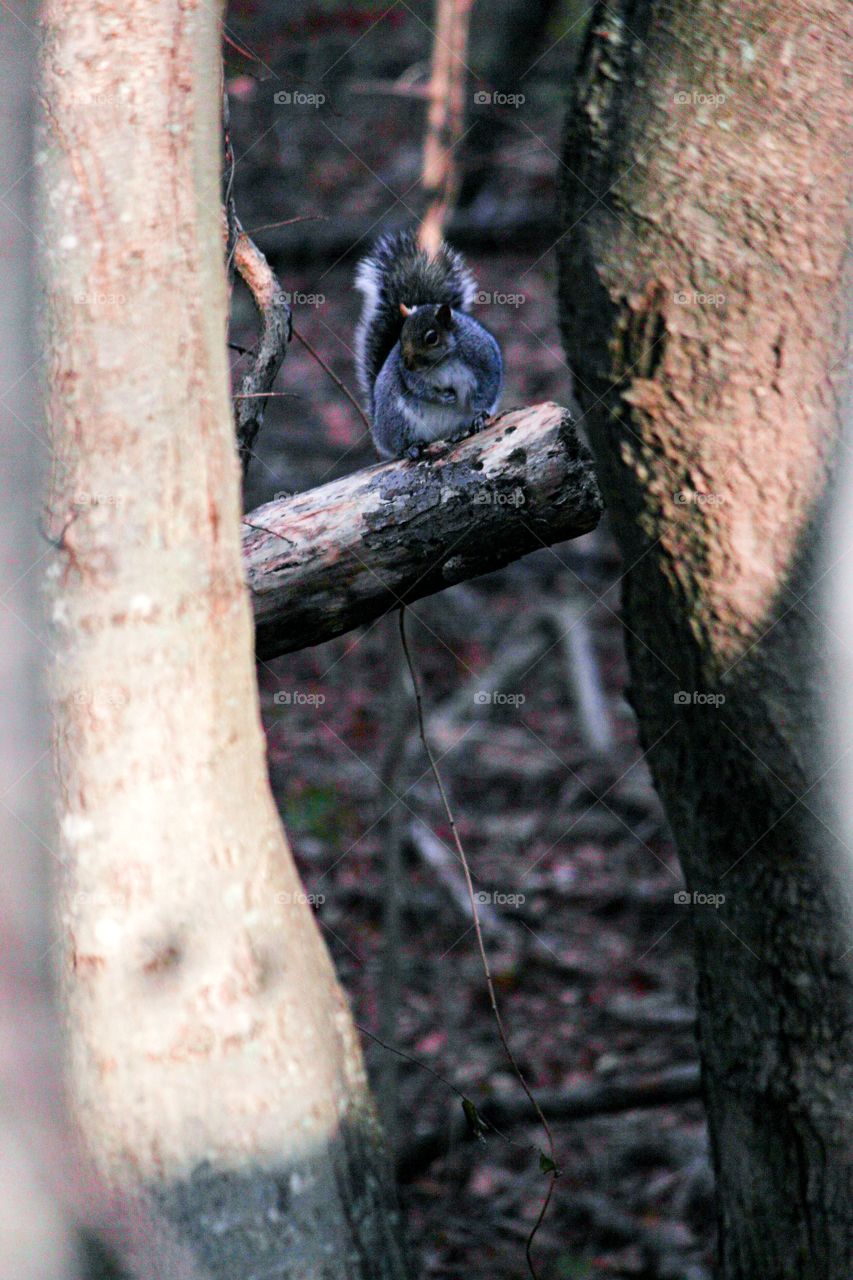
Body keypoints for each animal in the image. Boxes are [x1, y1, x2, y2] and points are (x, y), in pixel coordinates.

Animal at [354, 228, 503, 460]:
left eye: (431, 338)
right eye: (400, 337)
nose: (406, 364)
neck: (443, 360)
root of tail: (378, 430)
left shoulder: (484, 358)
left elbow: (487, 388)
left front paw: (479, 416)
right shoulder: (411, 377)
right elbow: (419, 388)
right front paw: (444, 397)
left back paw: (459, 432)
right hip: (396, 418)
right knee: (399, 443)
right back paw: (410, 447)